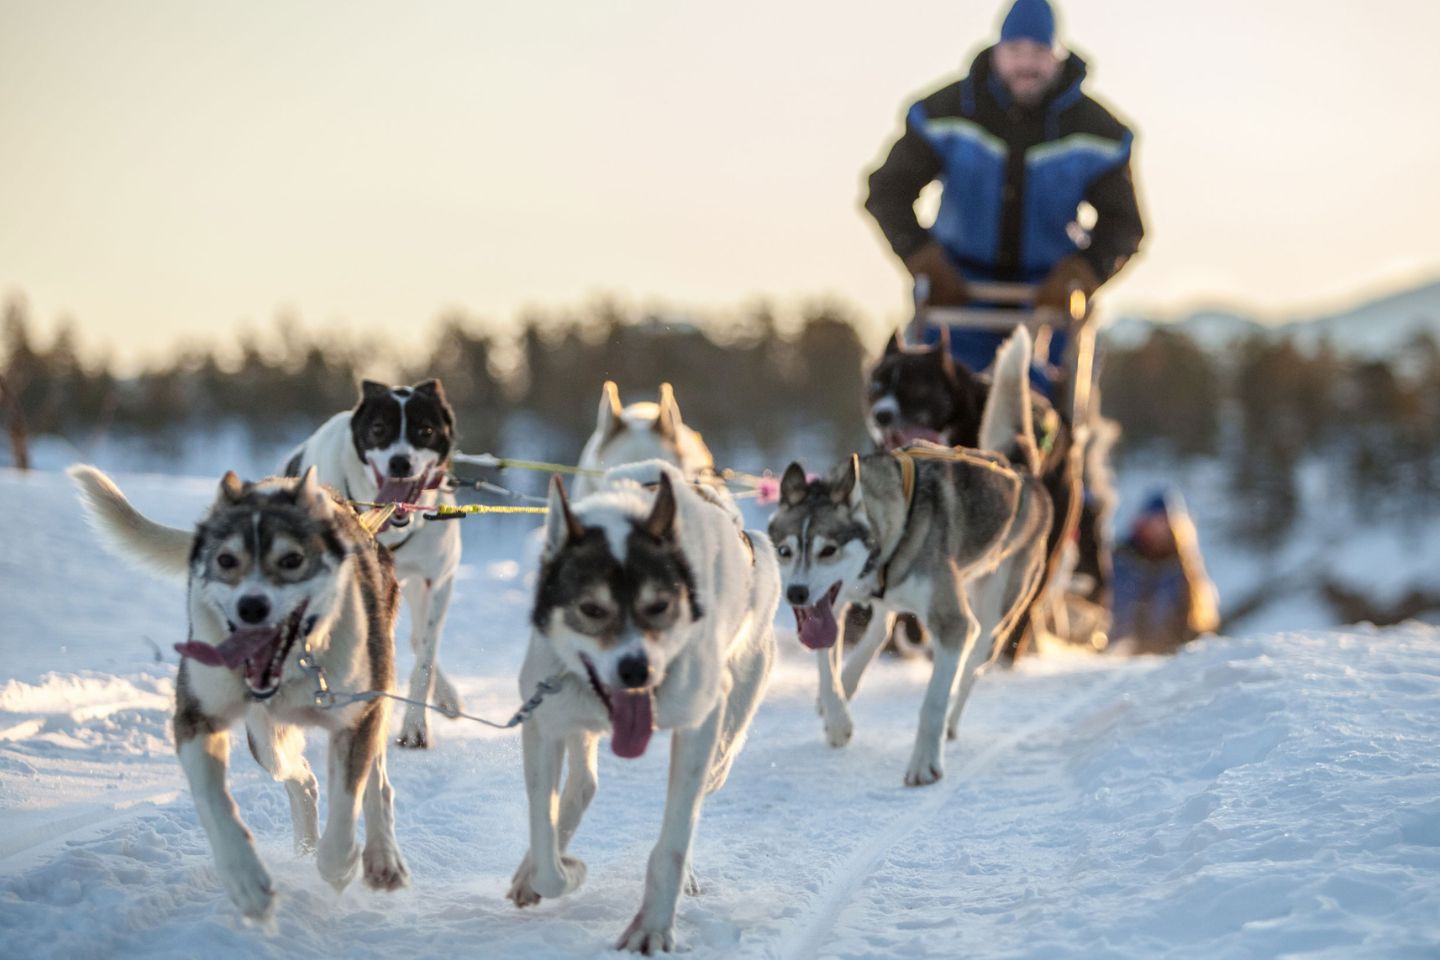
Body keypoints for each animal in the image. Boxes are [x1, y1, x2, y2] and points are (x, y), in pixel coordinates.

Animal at [68, 466, 411, 921]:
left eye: (292, 560)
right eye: (226, 560)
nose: (251, 606)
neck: (293, 664)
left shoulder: (358, 716)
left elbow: (347, 803)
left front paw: (338, 864)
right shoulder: (196, 716)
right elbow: (214, 802)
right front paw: (245, 880)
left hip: (372, 700)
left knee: (375, 784)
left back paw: (381, 857)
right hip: (267, 740)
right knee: (302, 780)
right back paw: (305, 849)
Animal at [280, 379, 460, 748]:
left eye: (425, 430)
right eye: (379, 429)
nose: (400, 462)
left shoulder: (438, 579)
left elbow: (425, 657)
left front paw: (415, 725)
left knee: (419, 639)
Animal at [771, 331, 1054, 788]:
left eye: (828, 549)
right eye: (785, 551)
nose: (796, 594)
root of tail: (1018, 467)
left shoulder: (952, 621)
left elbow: (932, 702)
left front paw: (924, 762)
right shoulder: (835, 603)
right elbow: (827, 667)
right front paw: (837, 718)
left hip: (998, 604)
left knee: (974, 656)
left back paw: (953, 717)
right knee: (881, 628)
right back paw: (850, 679)